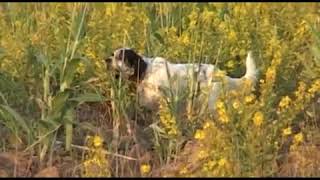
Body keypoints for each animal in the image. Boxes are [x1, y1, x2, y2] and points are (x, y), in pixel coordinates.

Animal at [105, 47, 258, 113]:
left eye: (120, 57)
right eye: (112, 54)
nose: (106, 59)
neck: (146, 70)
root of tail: (220, 74)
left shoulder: (165, 99)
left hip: (210, 102)